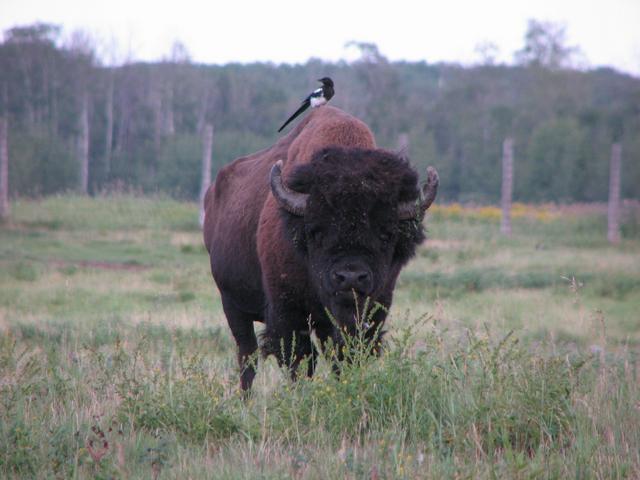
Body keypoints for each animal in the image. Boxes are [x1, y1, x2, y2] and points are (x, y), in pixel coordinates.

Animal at [202, 106, 438, 390]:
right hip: (233, 305)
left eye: (386, 233)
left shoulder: (372, 311)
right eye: (316, 231)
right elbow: (300, 360)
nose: (350, 277)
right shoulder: (289, 313)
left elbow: (344, 355)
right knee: (248, 356)